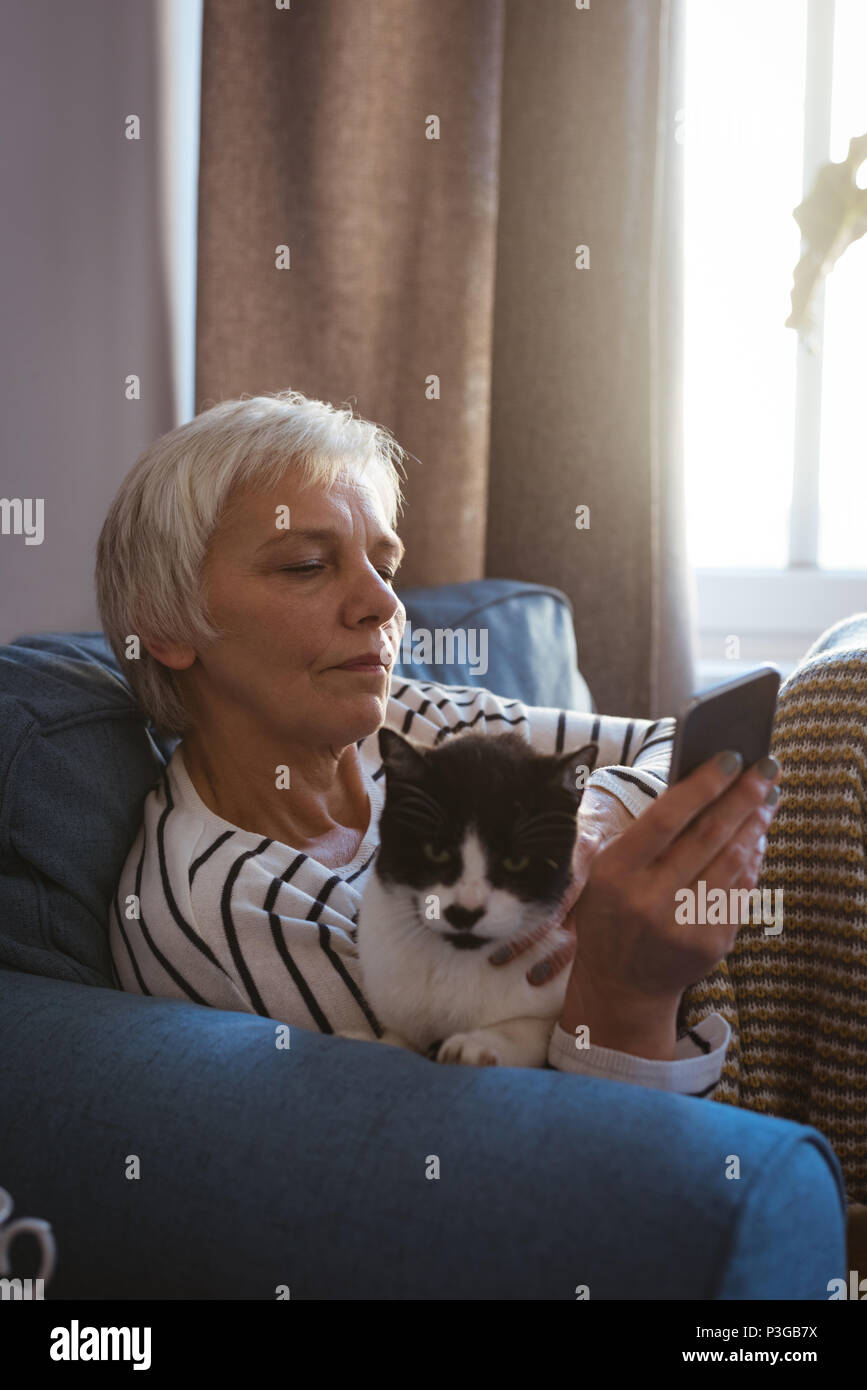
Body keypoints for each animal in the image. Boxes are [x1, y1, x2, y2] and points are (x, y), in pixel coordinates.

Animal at [348, 722, 600, 1067]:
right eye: (436, 851)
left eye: (515, 860)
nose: (465, 911)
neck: (455, 964)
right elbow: (398, 1039)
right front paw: (375, 1042)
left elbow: (529, 1030)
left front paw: (475, 1044)